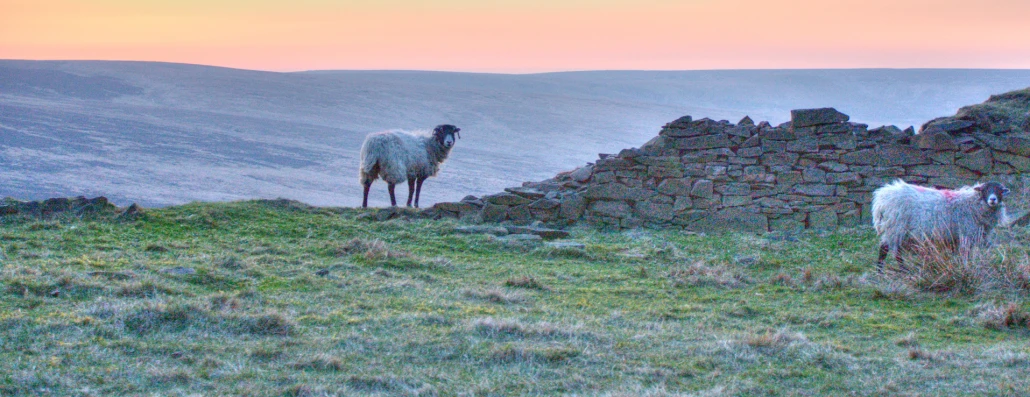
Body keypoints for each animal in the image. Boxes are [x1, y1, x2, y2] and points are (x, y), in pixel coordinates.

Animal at [873, 179, 1009, 272]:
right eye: (985, 190)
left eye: (999, 191)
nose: (993, 199)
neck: (973, 204)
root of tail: (881, 199)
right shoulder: (965, 233)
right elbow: (965, 254)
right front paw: (966, 267)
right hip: (895, 227)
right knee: (888, 250)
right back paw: (894, 270)